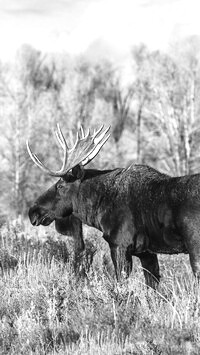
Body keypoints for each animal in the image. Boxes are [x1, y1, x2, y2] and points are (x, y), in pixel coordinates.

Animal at [27, 125, 200, 290]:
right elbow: (152, 287)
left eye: (60, 185)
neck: (99, 210)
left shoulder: (120, 245)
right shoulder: (146, 253)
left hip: (195, 246)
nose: (32, 212)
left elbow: (121, 284)